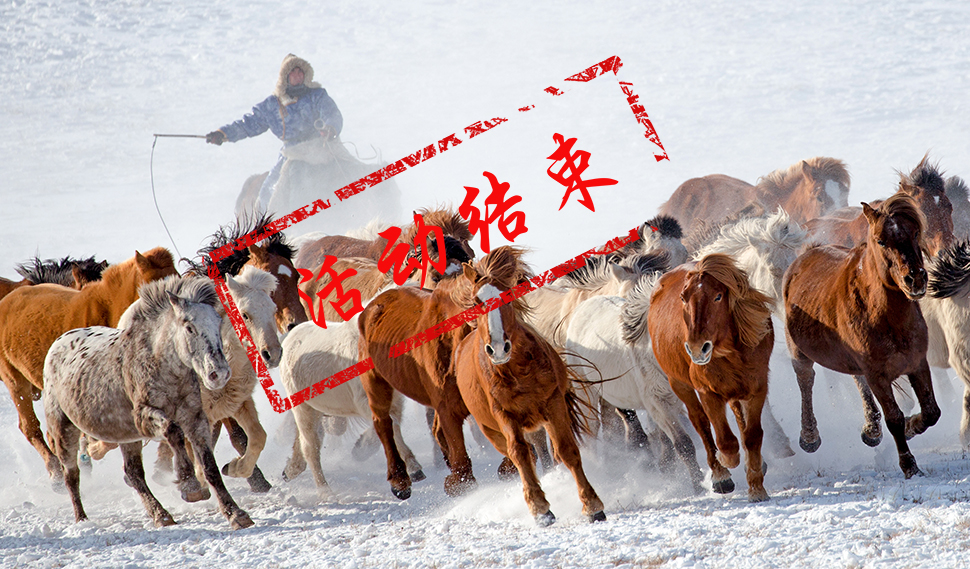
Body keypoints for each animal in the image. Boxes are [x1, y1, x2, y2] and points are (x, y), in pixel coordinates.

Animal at [450, 247, 600, 524]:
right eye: (476, 302)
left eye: (507, 297)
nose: (498, 348)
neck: (517, 372)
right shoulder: (504, 415)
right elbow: (519, 454)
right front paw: (540, 509)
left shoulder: (553, 403)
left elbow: (566, 449)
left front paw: (592, 505)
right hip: (494, 431)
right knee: (524, 454)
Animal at [648, 254, 776, 502]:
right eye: (683, 298)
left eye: (718, 296)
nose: (697, 348)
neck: (730, 353)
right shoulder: (708, 393)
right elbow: (725, 441)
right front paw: (725, 465)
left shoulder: (757, 388)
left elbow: (752, 436)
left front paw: (756, 487)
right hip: (680, 385)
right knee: (701, 423)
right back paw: (719, 475)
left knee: (738, 418)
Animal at [784, 193, 932, 478]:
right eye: (881, 240)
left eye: (916, 232)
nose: (915, 279)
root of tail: (805, 255)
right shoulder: (878, 375)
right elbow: (894, 418)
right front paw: (909, 465)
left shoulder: (918, 363)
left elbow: (931, 412)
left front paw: (912, 426)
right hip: (799, 352)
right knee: (805, 380)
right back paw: (809, 438)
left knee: (856, 379)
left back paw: (871, 431)